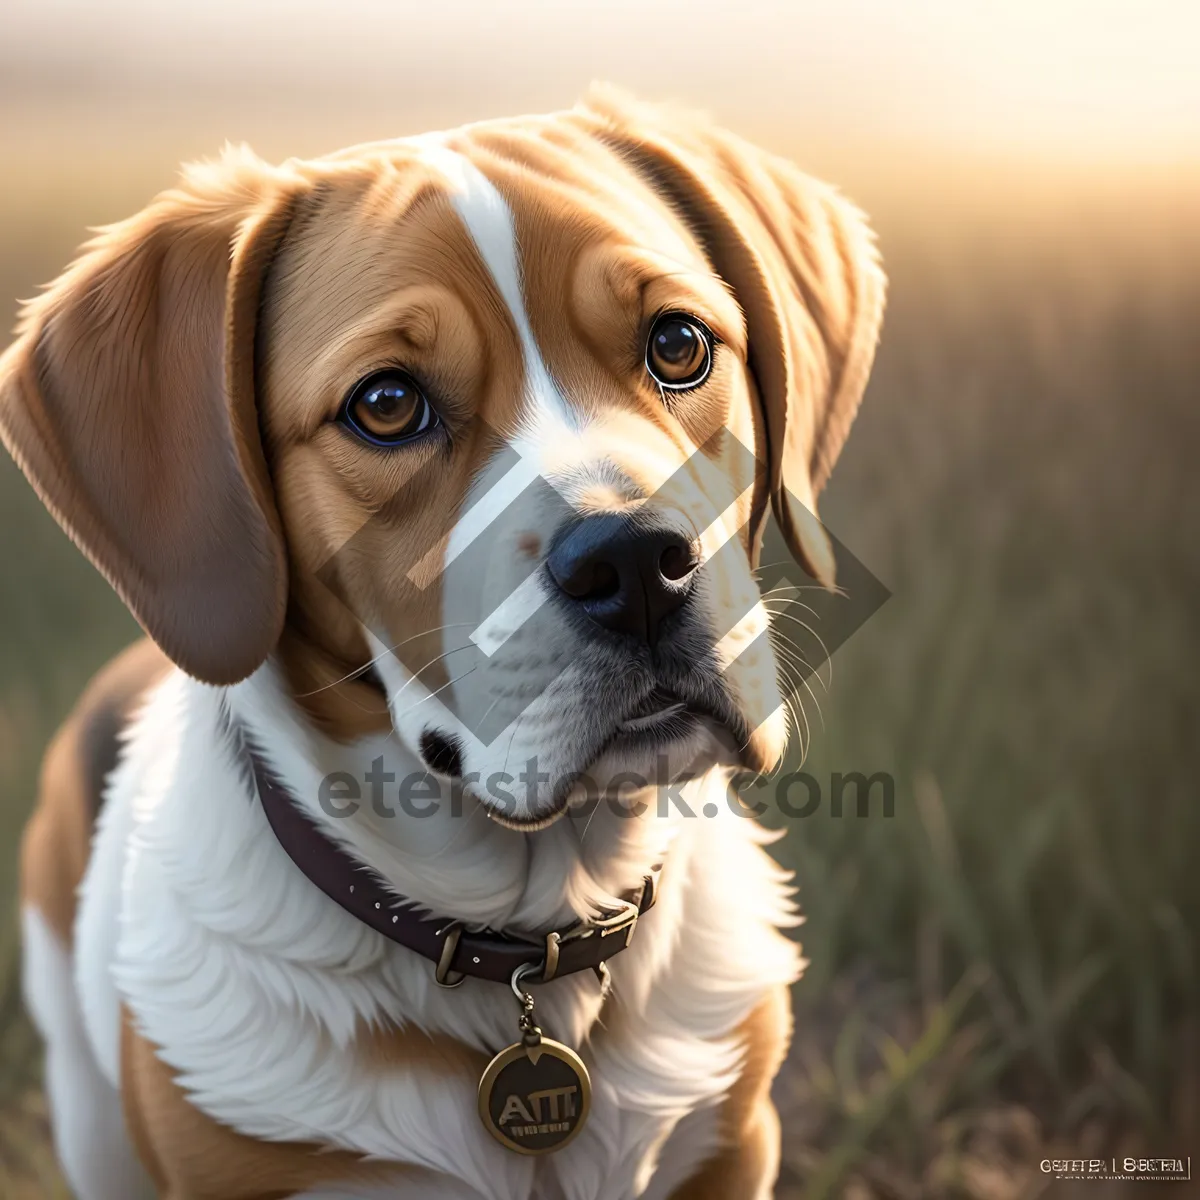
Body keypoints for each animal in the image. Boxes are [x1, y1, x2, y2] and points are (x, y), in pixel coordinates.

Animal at [0, 87, 883, 1200]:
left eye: (680, 343)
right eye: (386, 405)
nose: (638, 564)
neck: (534, 940)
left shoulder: (726, 1150)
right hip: (87, 1111)